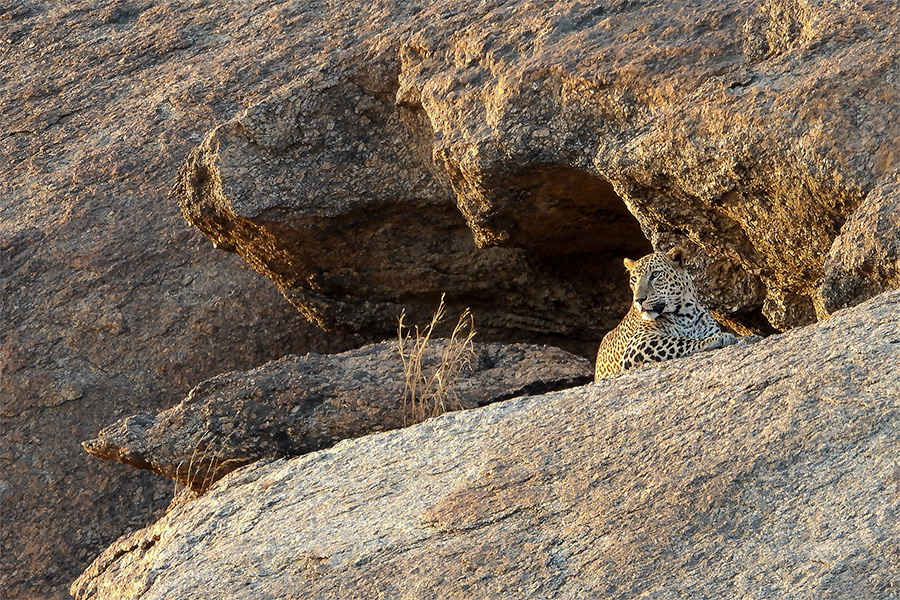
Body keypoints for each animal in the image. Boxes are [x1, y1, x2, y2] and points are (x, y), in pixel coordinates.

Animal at [592, 245, 740, 378]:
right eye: (634, 279)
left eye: (655, 274)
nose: (638, 300)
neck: (686, 314)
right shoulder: (638, 342)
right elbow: (679, 340)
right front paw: (718, 338)